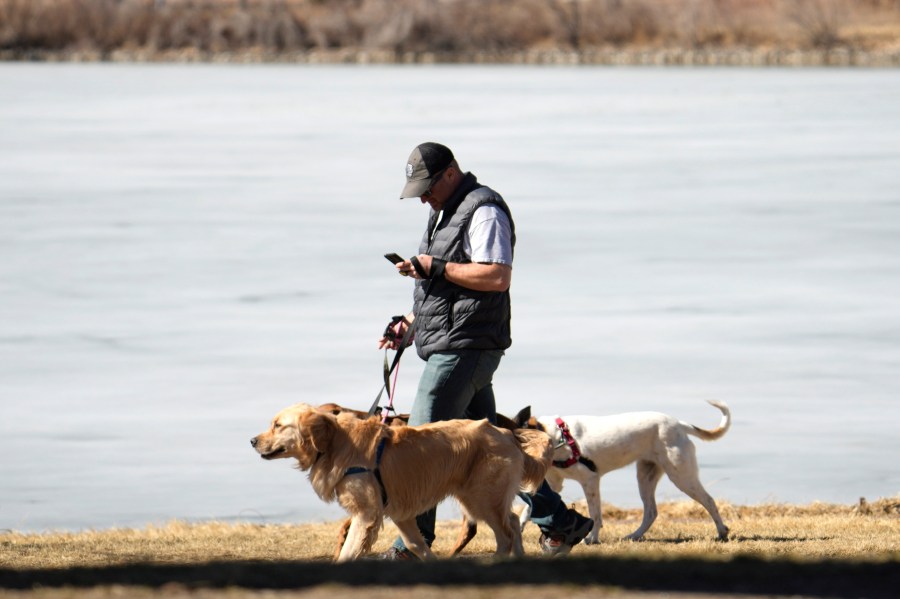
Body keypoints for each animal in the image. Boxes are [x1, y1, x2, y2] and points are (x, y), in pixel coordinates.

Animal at [512, 400, 732, 548]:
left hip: (681, 476)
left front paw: (592, 539)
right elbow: (527, 510)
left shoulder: (590, 480)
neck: (557, 437)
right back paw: (634, 536)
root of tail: (679, 424)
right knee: (651, 512)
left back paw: (722, 532)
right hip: (646, 476)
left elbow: (595, 514)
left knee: (709, 501)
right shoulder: (553, 484)